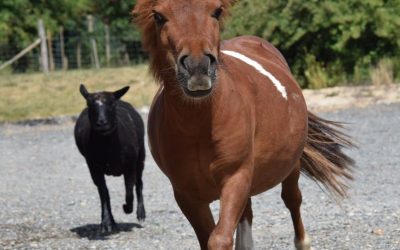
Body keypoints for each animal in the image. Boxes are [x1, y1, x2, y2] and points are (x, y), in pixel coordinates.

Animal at [74, 84, 146, 232]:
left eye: (112, 104)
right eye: (89, 104)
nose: (102, 123)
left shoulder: (130, 165)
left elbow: (129, 190)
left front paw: (127, 208)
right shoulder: (93, 167)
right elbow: (104, 193)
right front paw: (107, 222)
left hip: (141, 156)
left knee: (139, 183)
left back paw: (141, 214)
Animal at [134, 0, 354, 249]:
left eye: (217, 11)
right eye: (158, 16)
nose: (197, 68)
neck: (199, 127)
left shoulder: (236, 177)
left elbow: (219, 238)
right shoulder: (186, 195)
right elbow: (208, 237)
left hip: (291, 165)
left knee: (292, 199)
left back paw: (302, 241)